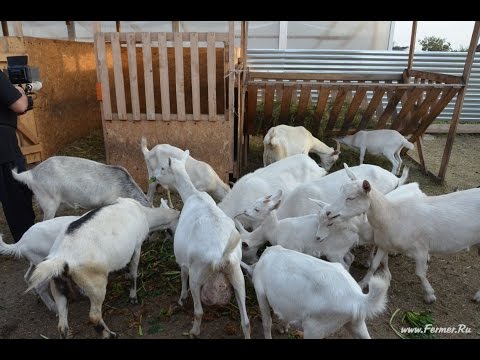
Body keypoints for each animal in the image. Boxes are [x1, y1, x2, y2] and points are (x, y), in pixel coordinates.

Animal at [24, 198, 178, 338]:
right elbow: (134, 273)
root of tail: (60, 257)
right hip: (95, 284)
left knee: (62, 325)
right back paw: (110, 335)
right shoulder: (137, 247)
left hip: (58, 286)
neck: (145, 215)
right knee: (94, 316)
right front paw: (133, 297)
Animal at [161, 148, 251, 338]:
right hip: (237, 274)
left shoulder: (183, 260)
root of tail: (221, 257)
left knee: (199, 311)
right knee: (246, 321)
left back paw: (193, 331)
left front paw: (182, 298)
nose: (155, 177)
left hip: (198, 274)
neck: (194, 195)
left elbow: (182, 275)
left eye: (163, 168)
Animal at [242, 246, 388, 338]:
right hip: (356, 322)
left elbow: (267, 322)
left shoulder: (261, 291)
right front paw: (283, 327)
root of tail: (359, 299)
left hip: (315, 328)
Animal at [328, 165, 480, 304]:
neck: (392, 215)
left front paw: (429, 294)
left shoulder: (420, 249)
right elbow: (374, 265)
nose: (329, 212)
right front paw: (362, 283)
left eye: (351, 198)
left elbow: (420, 273)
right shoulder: (383, 244)